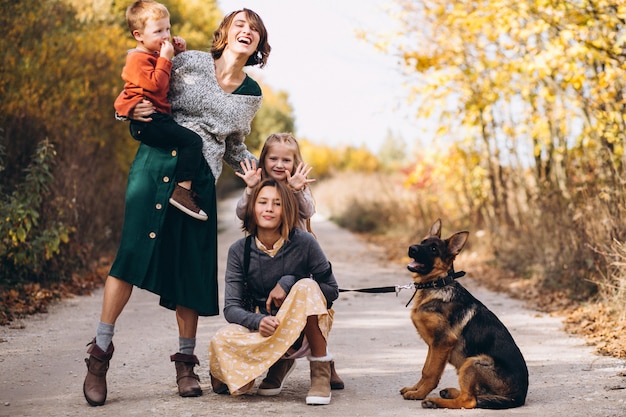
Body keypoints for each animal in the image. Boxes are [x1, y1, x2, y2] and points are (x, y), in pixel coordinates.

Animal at [400, 219, 528, 408]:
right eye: (423, 242)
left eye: (433, 249)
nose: (412, 248)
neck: (437, 284)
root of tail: (519, 397)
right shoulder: (434, 345)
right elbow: (425, 369)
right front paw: (415, 389)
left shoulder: (442, 342)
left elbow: (431, 373)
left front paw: (419, 394)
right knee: (474, 394)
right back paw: (449, 393)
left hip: (473, 361)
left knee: (469, 400)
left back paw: (434, 401)